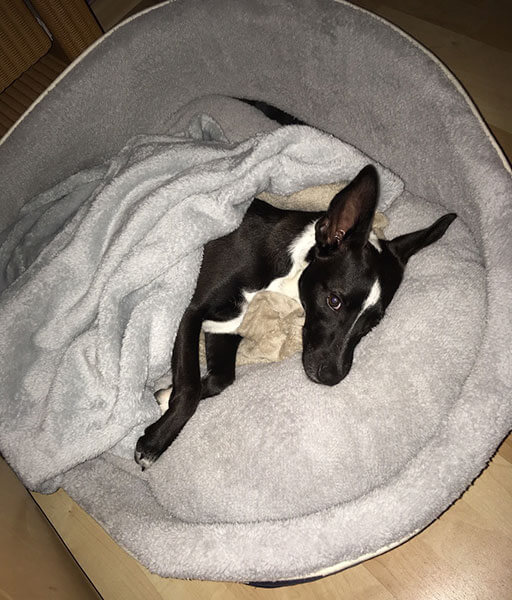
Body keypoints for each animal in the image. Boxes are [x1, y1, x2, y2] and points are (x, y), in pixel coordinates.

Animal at [134, 102, 456, 468]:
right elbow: (188, 388)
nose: (332, 377)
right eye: (333, 301)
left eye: (372, 324)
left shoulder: (224, 323)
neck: (286, 268)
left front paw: (165, 398)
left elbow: (221, 378)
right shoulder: (193, 311)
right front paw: (155, 441)